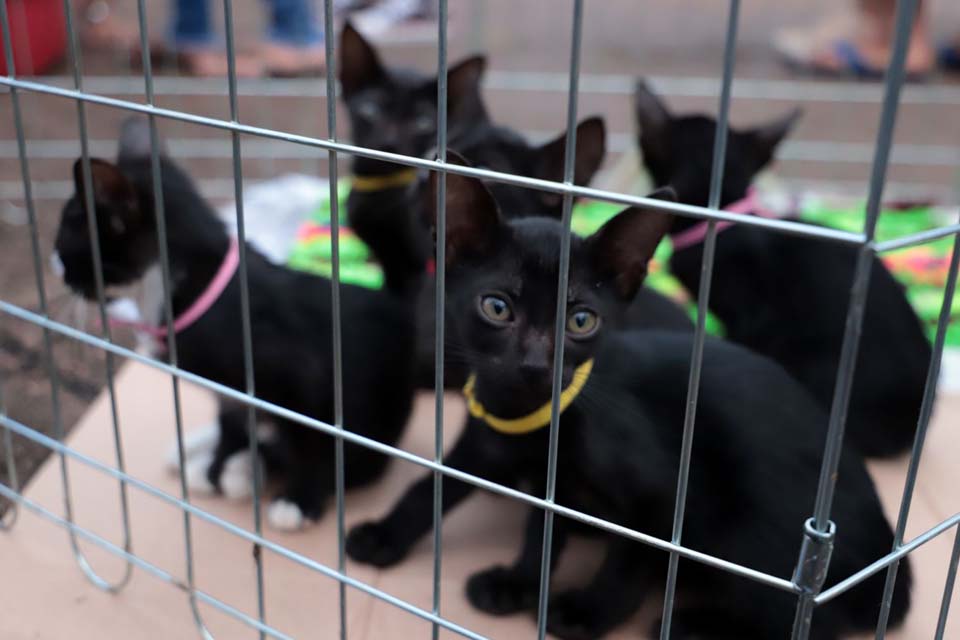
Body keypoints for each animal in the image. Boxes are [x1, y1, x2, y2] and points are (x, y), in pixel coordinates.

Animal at [54, 119, 422, 528]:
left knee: (359, 462)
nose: (62, 275)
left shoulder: (297, 377)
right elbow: (231, 422)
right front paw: (215, 466)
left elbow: (311, 439)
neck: (192, 288)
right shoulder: (232, 391)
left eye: (66, 246)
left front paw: (300, 499)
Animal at [344, 158, 908, 640]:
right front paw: (507, 579)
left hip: (751, 532)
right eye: (497, 307)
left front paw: (586, 612)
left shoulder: (670, 493)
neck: (531, 420)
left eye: (581, 320)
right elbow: (459, 499)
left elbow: (635, 557)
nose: (536, 365)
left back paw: (694, 622)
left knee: (805, 621)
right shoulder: (499, 450)